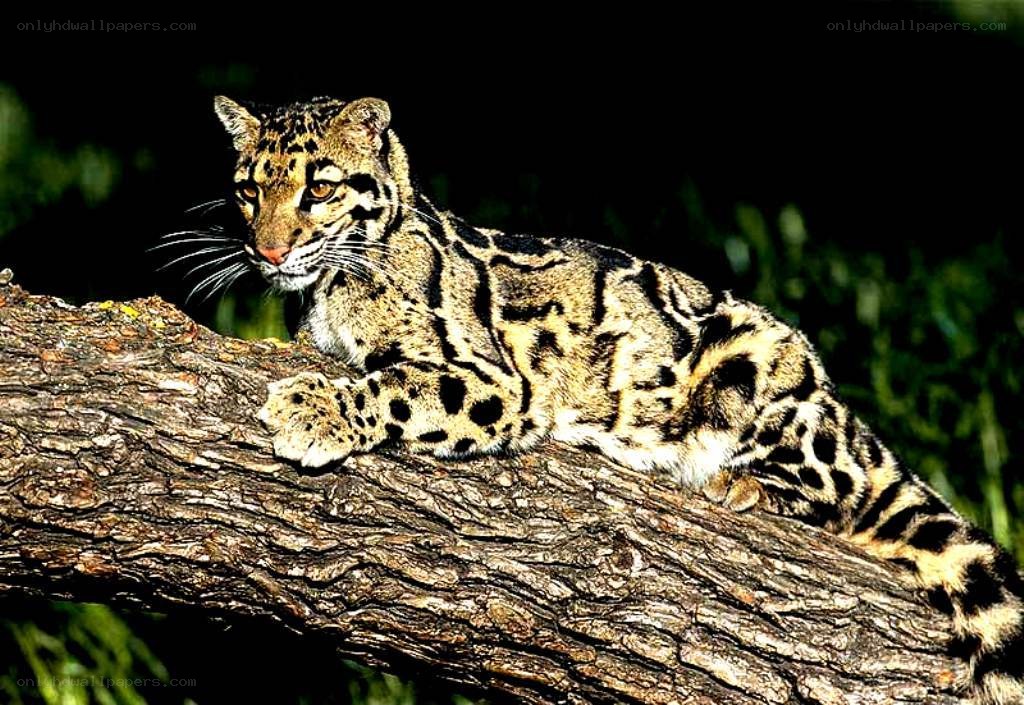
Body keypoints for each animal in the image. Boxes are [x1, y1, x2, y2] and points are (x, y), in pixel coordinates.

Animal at [210, 94, 1023, 703]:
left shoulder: (494, 380)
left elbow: (399, 385)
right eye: (249, 189)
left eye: (319, 187)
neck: (326, 289)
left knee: (842, 483)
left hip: (762, 364)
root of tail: (837, 402)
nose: (268, 250)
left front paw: (313, 411)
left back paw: (746, 482)